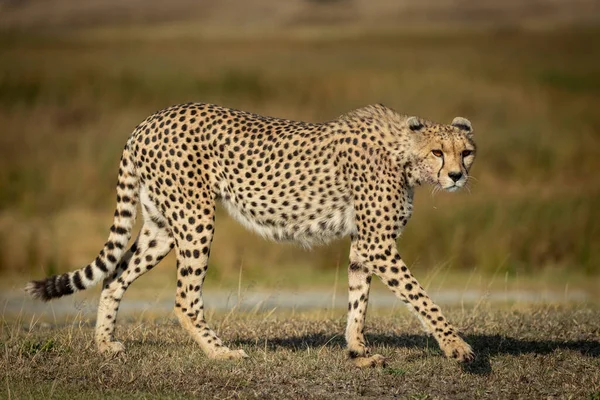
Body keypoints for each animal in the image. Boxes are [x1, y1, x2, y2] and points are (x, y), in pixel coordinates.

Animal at [25, 103, 478, 366]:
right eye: (438, 152)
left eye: (467, 152)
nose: (457, 176)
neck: (404, 155)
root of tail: (149, 120)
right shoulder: (378, 243)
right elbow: (421, 298)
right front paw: (457, 348)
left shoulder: (364, 243)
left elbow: (358, 297)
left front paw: (358, 352)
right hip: (195, 218)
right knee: (184, 299)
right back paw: (221, 352)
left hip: (162, 227)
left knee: (115, 277)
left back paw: (105, 344)